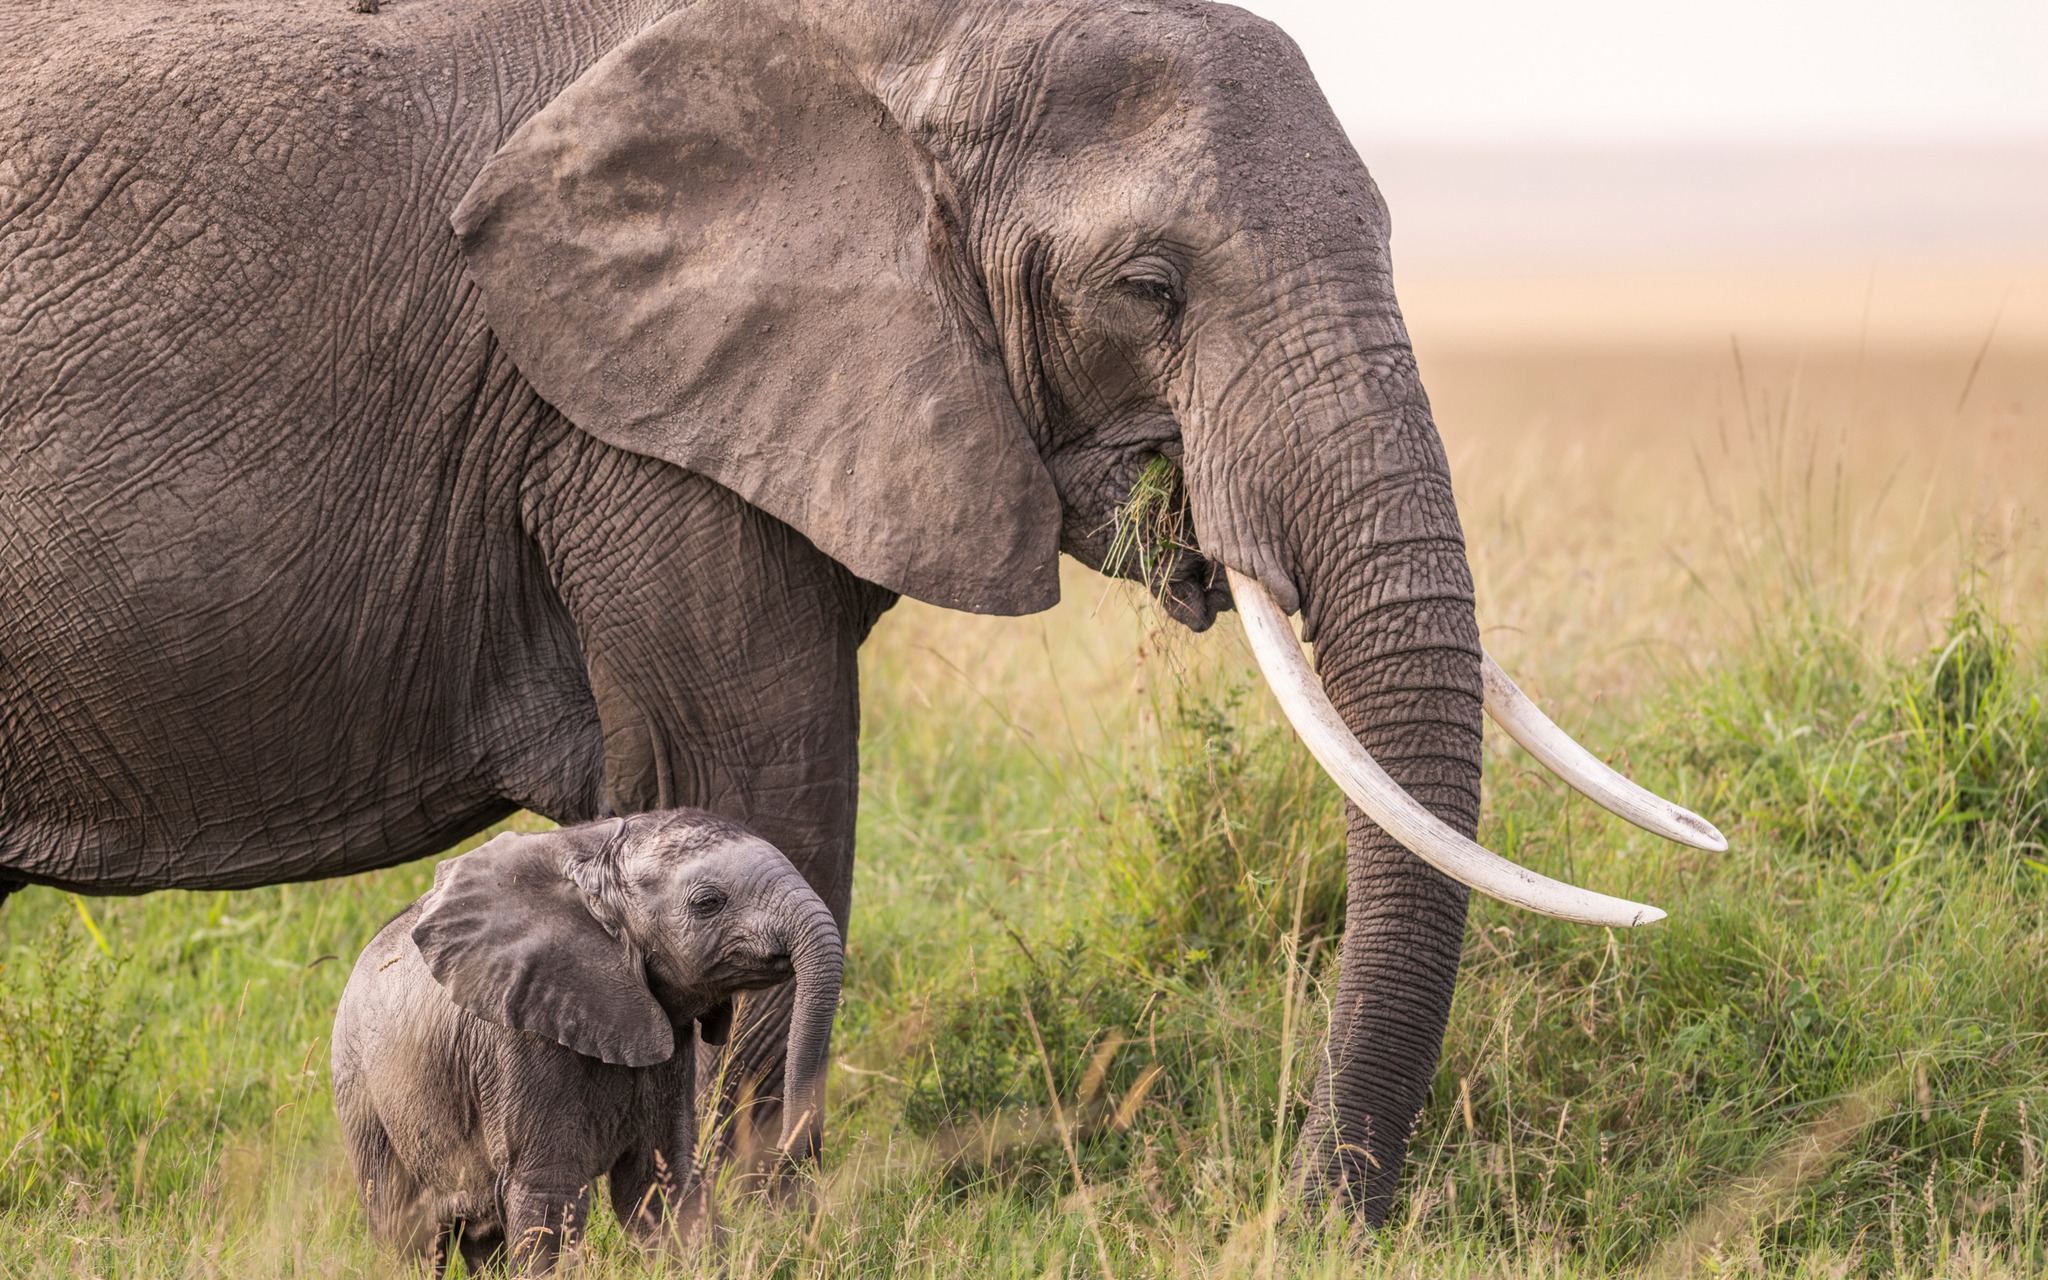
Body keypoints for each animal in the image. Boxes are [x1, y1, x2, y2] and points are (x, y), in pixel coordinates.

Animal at [0, 0, 1724, 1221]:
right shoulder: (622, 410)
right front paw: (757, 1235)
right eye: (1150, 287)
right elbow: (759, 778)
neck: (903, 38)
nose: (1303, 1211)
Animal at [331, 810, 841, 1272]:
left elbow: (660, 1181)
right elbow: (550, 1194)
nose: (787, 1159)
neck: (594, 864)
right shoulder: (520, 1043)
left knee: (480, 1236)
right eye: (709, 903)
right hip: (362, 1097)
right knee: (408, 1232)